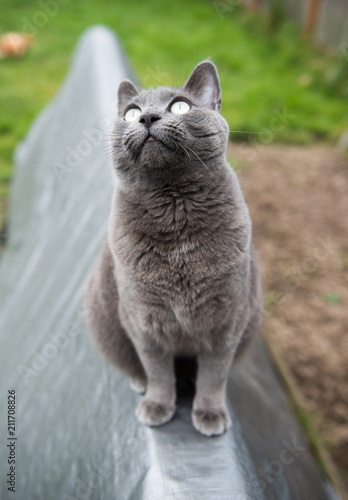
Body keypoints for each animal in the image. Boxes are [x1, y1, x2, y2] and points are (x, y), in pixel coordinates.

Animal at [85, 60, 262, 436]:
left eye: (180, 106)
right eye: (130, 112)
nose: (147, 117)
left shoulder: (228, 320)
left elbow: (214, 375)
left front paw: (209, 413)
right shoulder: (143, 320)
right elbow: (158, 371)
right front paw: (157, 406)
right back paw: (140, 385)